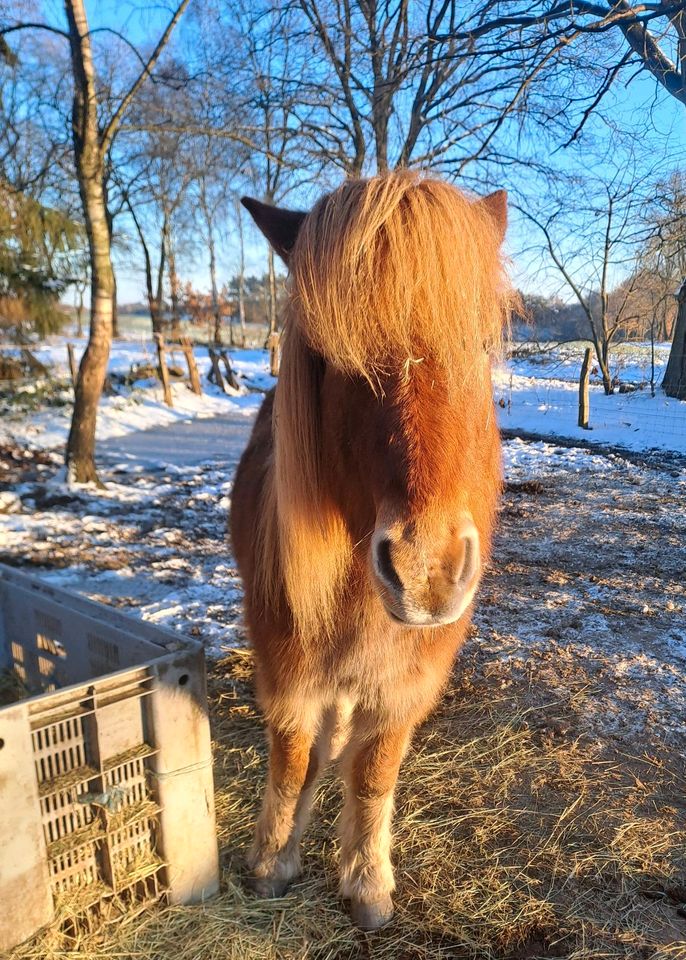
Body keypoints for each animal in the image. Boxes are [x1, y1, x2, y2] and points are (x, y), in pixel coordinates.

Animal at [234, 172, 512, 928]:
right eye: (336, 358)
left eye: (478, 345)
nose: (426, 571)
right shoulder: (285, 660)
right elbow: (292, 755)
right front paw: (273, 860)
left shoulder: (409, 679)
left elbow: (374, 771)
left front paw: (365, 880)